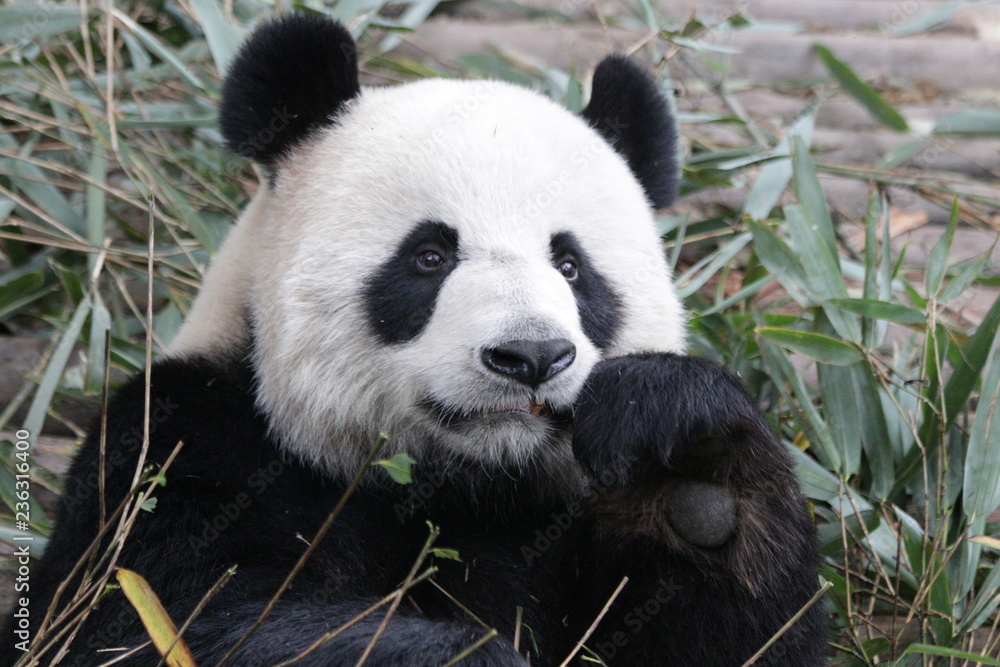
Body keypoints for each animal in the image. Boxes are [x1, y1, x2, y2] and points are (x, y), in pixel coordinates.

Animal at [2, 14, 826, 667]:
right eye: (430, 256)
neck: (469, 484)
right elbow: (149, 623)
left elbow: (733, 642)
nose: (530, 357)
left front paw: (690, 469)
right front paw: (471, 655)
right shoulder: (188, 443)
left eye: (571, 266)